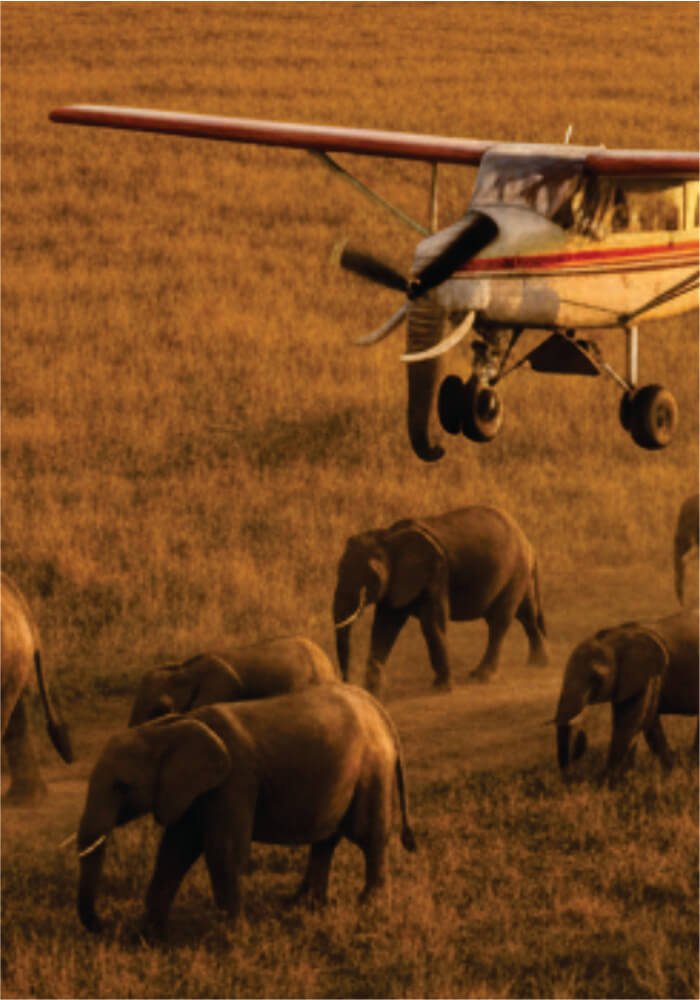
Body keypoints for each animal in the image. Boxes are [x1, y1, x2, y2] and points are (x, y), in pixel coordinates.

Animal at [76, 684, 416, 938]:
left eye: (121, 786)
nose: (102, 926)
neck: (173, 727)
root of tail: (376, 707)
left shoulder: (234, 781)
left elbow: (222, 851)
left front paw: (231, 936)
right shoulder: (191, 789)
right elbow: (175, 851)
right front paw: (147, 937)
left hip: (373, 767)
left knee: (368, 836)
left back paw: (367, 906)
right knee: (326, 839)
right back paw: (302, 904)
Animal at [333, 505, 549, 693]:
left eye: (365, 579)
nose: (347, 683)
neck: (387, 538)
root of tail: (528, 542)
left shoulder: (436, 571)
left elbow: (431, 624)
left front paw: (442, 689)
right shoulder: (397, 581)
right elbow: (385, 626)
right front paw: (372, 690)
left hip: (516, 571)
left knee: (500, 621)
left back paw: (483, 676)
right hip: (519, 574)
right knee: (526, 614)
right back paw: (538, 664)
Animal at [555, 608, 699, 783]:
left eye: (596, 677)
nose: (570, 777)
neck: (615, 635)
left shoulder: (648, 675)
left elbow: (629, 721)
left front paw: (609, 782)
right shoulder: (629, 680)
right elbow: (644, 721)